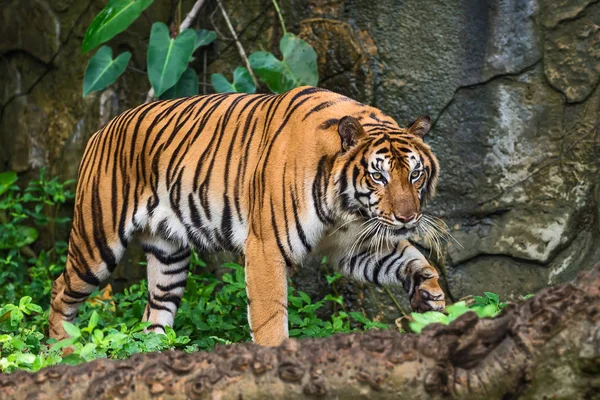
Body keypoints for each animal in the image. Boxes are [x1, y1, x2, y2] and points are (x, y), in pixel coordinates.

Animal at [49, 86, 446, 346]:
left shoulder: (353, 246)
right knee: (60, 290)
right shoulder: (267, 247)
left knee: (154, 314)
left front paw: (431, 297)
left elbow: (414, 260)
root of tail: (101, 129)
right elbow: (270, 318)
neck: (346, 209)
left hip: (168, 256)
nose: (408, 217)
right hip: (96, 241)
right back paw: (62, 351)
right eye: (378, 176)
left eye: (415, 174)